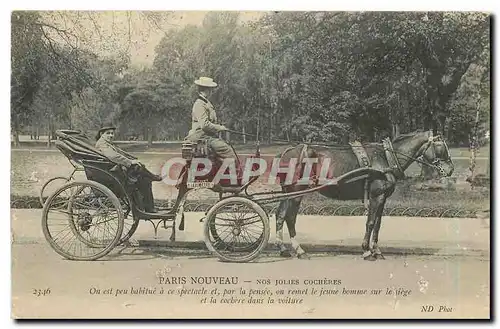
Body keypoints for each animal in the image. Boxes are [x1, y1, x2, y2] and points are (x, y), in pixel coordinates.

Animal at [274, 129, 454, 260]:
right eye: (441, 147)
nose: (451, 169)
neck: (386, 158)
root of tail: (287, 152)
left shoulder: (382, 198)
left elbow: (378, 224)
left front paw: (376, 250)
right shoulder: (376, 196)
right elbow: (370, 222)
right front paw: (367, 250)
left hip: (288, 192)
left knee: (280, 215)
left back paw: (283, 248)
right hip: (296, 192)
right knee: (290, 217)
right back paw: (299, 250)